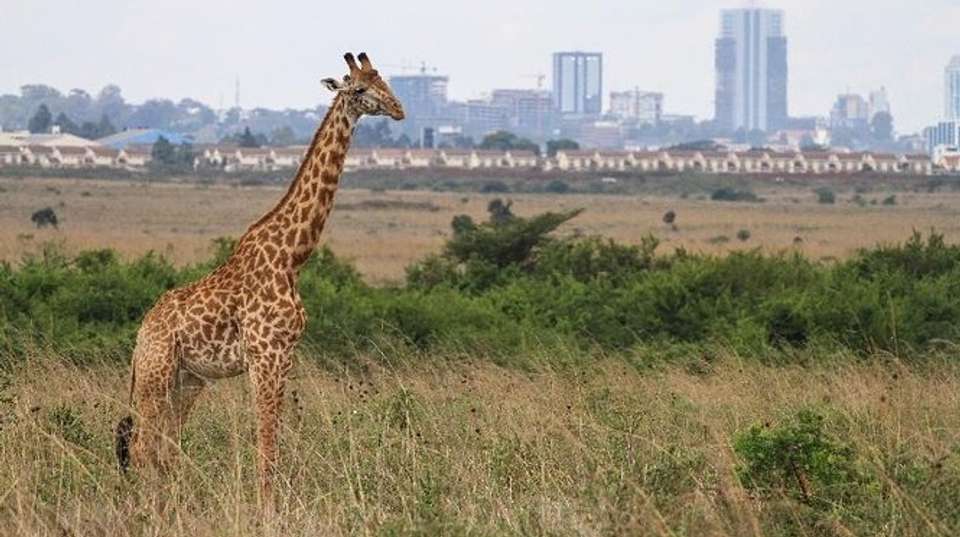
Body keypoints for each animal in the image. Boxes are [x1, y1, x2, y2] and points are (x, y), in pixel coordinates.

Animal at [114, 52, 404, 512]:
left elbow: (273, 435)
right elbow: (267, 439)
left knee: (165, 445)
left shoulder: (285, 356)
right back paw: (149, 510)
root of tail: (141, 334)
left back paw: (170, 505)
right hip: (155, 375)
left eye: (385, 82)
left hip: (187, 380)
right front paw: (268, 510)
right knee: (143, 446)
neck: (291, 257)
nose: (399, 110)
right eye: (359, 88)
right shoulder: (267, 355)